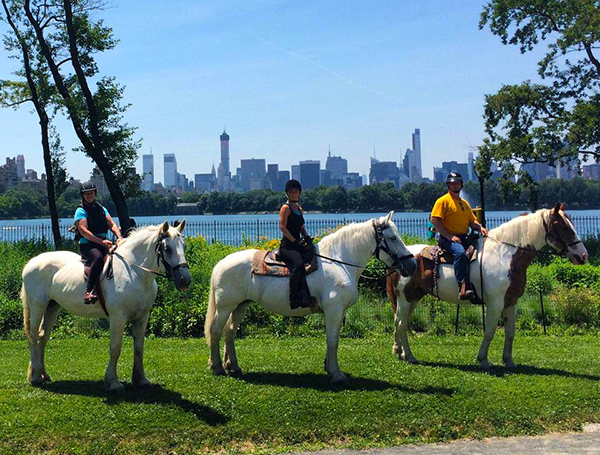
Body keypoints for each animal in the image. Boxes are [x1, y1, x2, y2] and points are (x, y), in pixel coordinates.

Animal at [21, 222, 190, 392]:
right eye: (167, 248)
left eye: (184, 245)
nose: (185, 280)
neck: (134, 271)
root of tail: (32, 262)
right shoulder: (118, 317)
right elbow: (115, 348)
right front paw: (113, 382)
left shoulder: (142, 317)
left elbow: (139, 348)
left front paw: (140, 379)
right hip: (37, 306)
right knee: (33, 336)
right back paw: (36, 377)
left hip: (52, 307)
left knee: (42, 338)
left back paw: (43, 374)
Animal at [205, 213, 418, 384]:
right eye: (392, 237)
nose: (413, 265)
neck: (339, 262)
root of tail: (220, 263)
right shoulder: (334, 310)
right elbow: (332, 341)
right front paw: (336, 374)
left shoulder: (338, 312)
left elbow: (333, 340)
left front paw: (328, 367)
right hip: (225, 307)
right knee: (216, 331)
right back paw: (217, 367)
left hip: (240, 306)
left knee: (230, 332)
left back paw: (233, 366)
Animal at [386, 205, 588, 372]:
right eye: (564, 227)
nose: (583, 255)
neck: (505, 254)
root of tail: (399, 261)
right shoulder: (495, 303)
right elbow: (490, 331)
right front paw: (483, 360)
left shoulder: (511, 302)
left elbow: (510, 332)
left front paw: (509, 361)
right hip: (405, 298)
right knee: (402, 324)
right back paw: (410, 356)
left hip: (413, 298)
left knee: (398, 321)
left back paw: (399, 351)